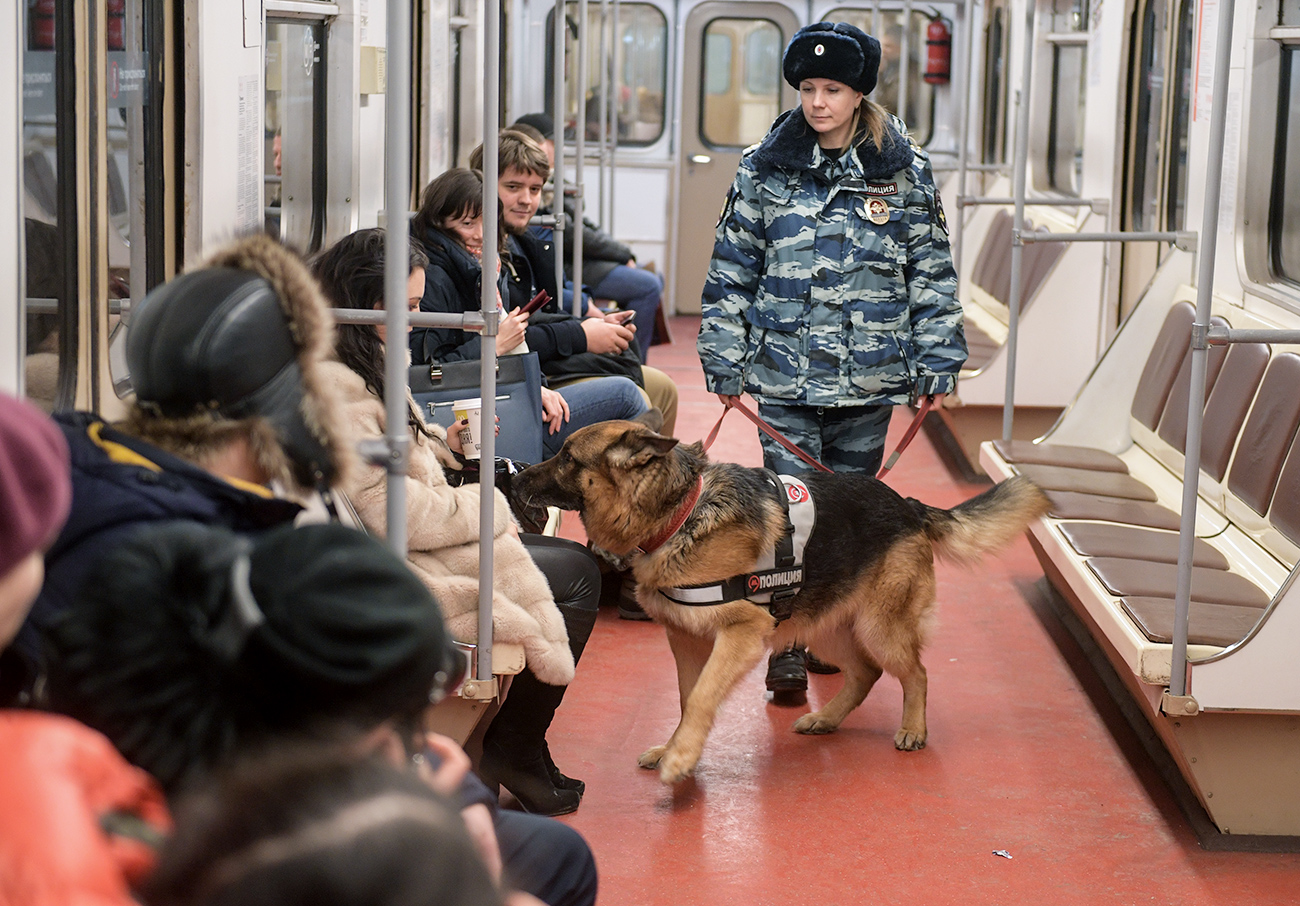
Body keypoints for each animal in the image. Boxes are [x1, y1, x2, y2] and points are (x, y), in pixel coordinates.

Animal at [512, 413, 1050, 779]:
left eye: (567, 457)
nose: (514, 476)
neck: (680, 513)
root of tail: (908, 505)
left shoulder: (741, 634)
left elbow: (703, 694)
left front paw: (681, 758)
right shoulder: (685, 640)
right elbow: (686, 699)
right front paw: (677, 747)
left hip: (878, 626)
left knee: (915, 672)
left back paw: (913, 728)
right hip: (824, 625)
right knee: (866, 673)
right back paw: (827, 719)